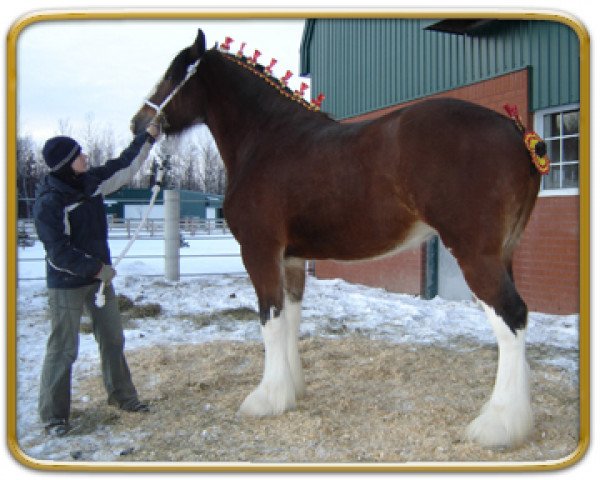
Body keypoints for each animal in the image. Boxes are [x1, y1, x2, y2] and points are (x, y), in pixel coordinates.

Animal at [132, 29, 544, 450]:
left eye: (174, 73)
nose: (138, 123)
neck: (267, 139)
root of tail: (516, 131)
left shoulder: (259, 251)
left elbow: (269, 318)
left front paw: (266, 399)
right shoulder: (291, 259)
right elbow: (291, 317)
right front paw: (291, 390)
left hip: (476, 254)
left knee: (511, 317)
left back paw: (497, 425)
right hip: (503, 253)